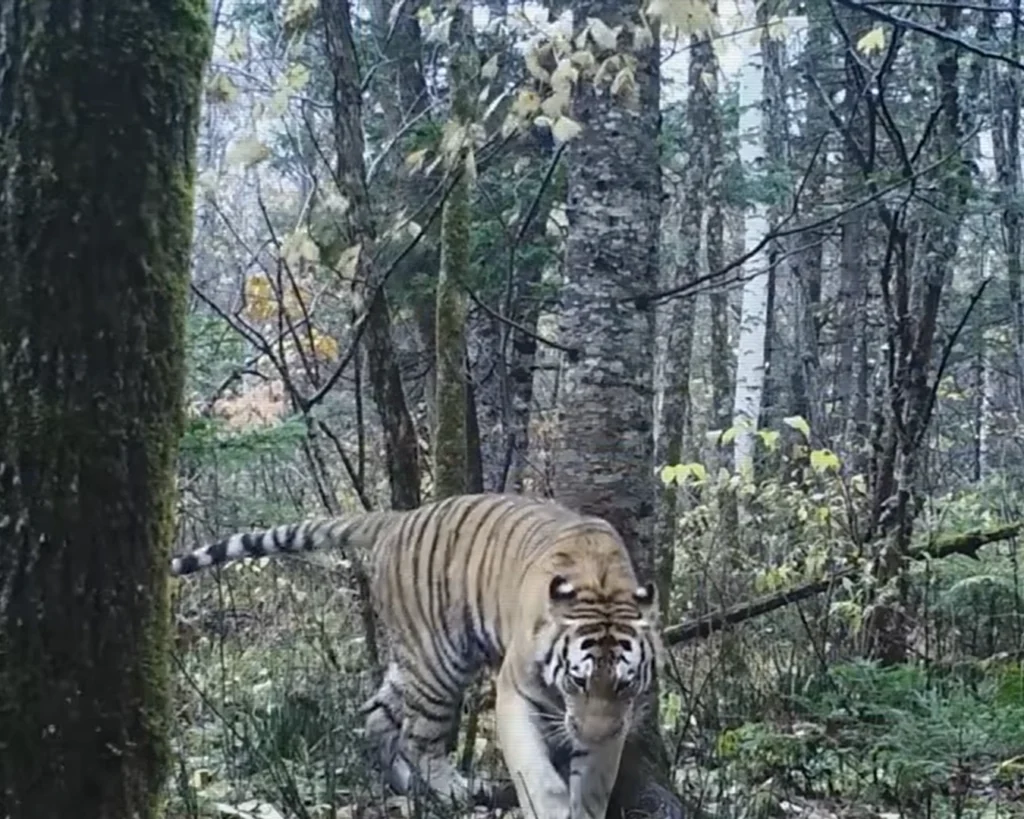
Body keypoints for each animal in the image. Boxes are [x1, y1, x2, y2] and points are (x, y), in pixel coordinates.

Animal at [170, 492, 663, 819]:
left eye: (623, 684)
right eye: (578, 680)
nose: (591, 733)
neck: (602, 587)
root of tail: (398, 519)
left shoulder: (616, 717)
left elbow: (594, 781)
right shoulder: (515, 690)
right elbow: (537, 773)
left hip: (414, 662)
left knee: (377, 716)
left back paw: (408, 789)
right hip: (438, 663)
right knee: (418, 738)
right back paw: (453, 792)